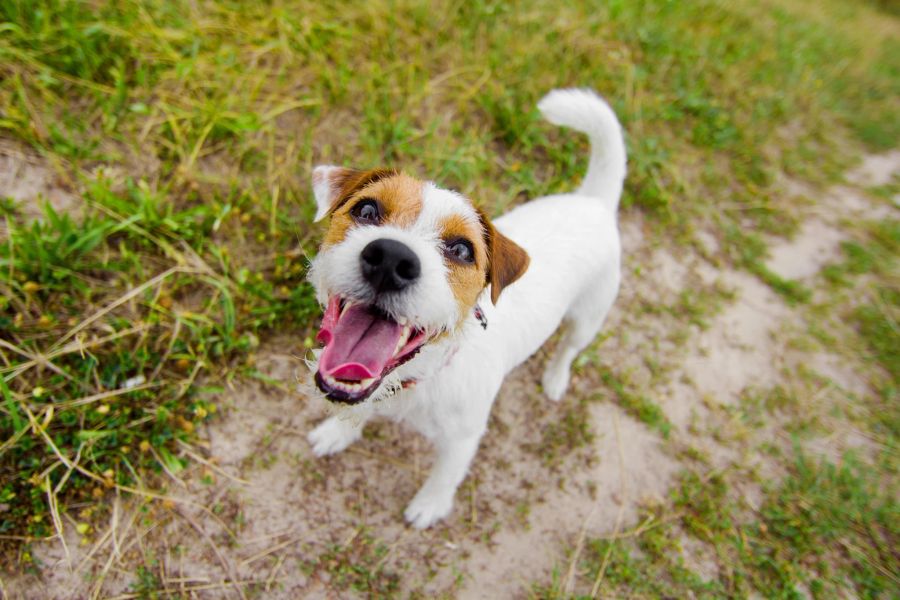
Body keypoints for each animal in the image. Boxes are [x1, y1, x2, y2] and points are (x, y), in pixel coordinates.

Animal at [306, 89, 624, 528]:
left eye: (461, 250)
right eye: (366, 211)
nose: (390, 260)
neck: (425, 373)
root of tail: (594, 202)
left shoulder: (463, 438)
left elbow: (446, 474)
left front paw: (429, 504)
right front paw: (337, 432)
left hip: (588, 316)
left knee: (569, 348)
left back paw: (555, 378)